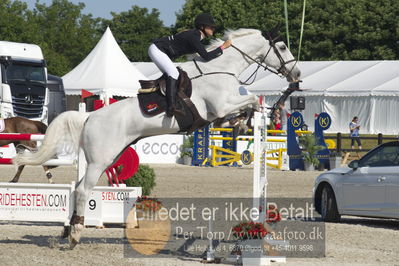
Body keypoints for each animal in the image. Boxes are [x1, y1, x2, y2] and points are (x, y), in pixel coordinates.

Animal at [16, 27, 304, 247]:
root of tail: (89, 118)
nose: (297, 75)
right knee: (84, 190)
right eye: (282, 46)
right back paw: (75, 235)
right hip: (100, 160)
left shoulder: (223, 107)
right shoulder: (221, 105)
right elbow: (252, 100)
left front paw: (242, 122)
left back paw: (67, 230)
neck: (222, 70)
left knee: (77, 188)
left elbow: (247, 106)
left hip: (110, 156)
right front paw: (252, 119)